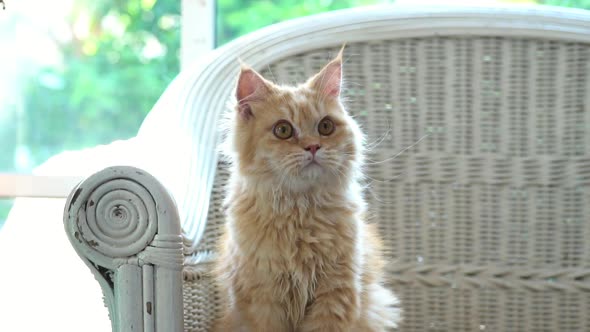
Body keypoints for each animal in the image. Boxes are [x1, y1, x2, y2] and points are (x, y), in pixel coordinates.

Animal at [214, 47, 402, 332]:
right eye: (283, 130)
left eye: (325, 126)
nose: (313, 147)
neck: (300, 210)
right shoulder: (264, 300)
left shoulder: (335, 295)